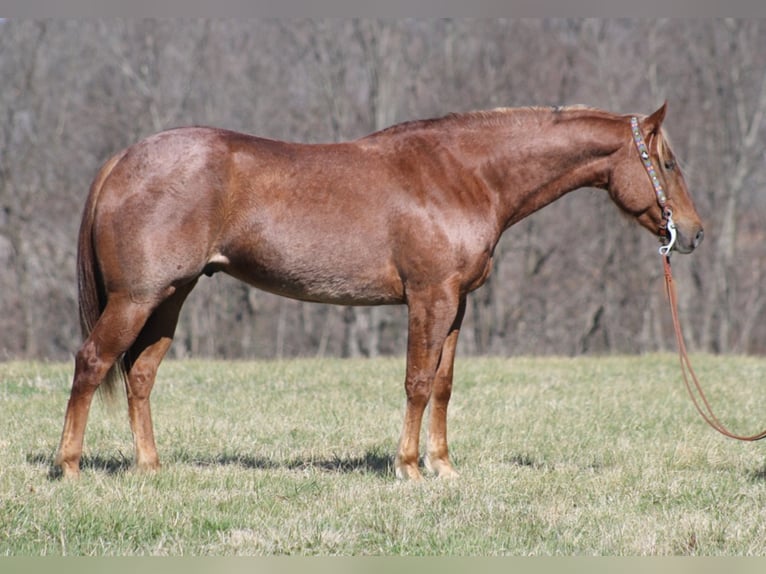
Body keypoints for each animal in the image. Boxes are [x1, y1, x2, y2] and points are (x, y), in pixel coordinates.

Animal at [54, 102, 704, 482]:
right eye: (669, 163)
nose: (694, 233)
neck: (463, 174)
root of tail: (123, 159)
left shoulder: (457, 303)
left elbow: (442, 385)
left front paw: (444, 469)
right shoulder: (429, 297)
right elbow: (416, 381)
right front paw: (410, 470)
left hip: (171, 295)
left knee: (139, 374)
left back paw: (151, 469)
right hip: (137, 298)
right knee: (92, 363)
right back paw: (72, 471)